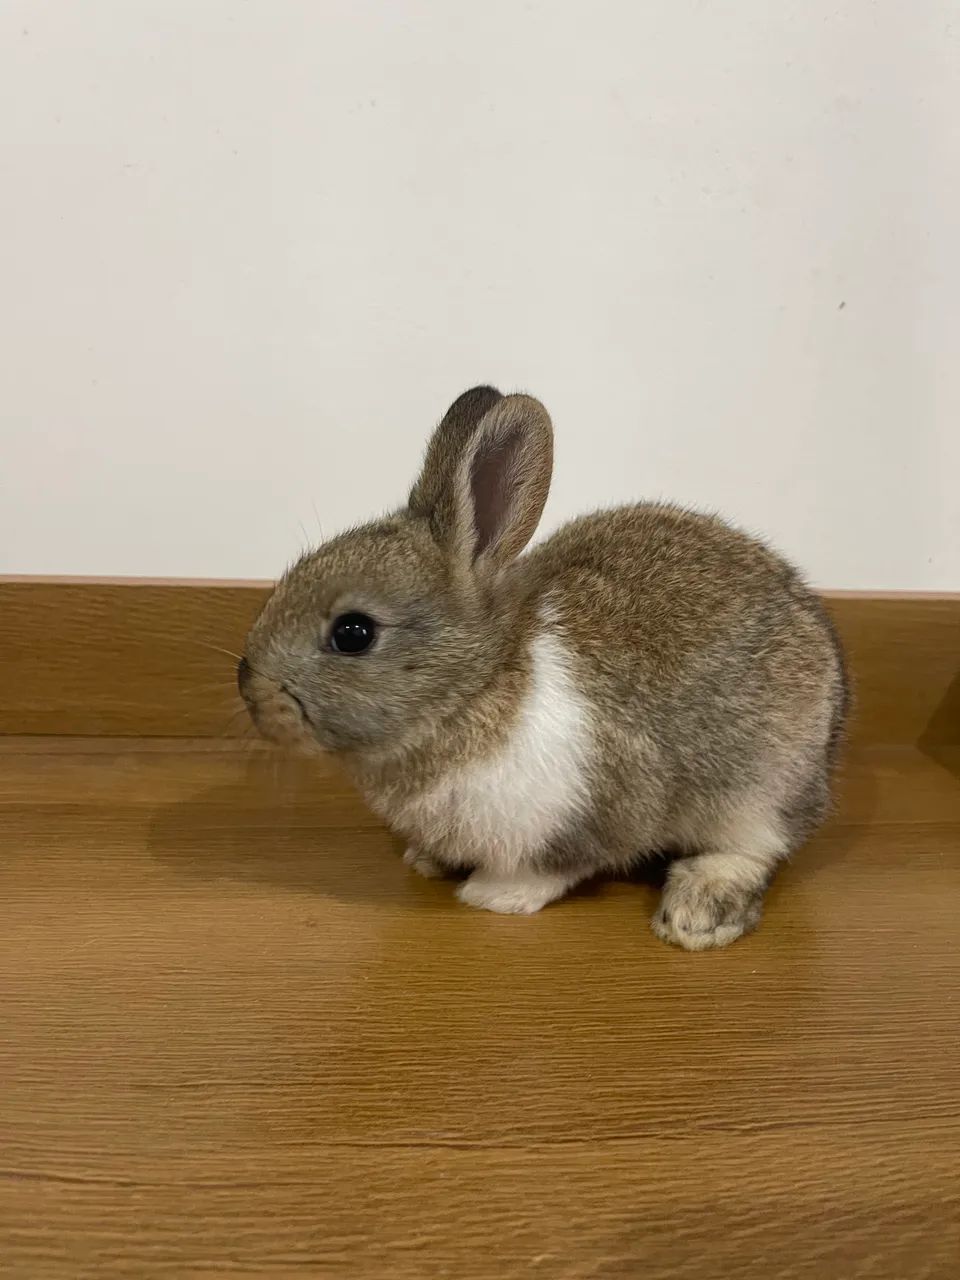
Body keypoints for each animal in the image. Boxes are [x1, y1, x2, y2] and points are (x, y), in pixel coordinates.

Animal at [238, 386, 849, 949]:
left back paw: (697, 912)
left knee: (756, 848)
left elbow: (558, 866)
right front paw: (427, 861)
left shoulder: (591, 808)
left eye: (353, 633)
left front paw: (493, 895)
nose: (249, 689)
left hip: (760, 788)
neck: (477, 686)